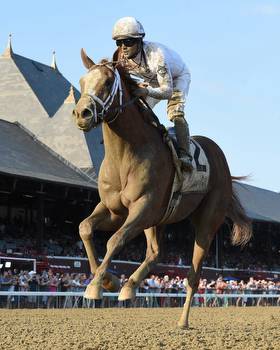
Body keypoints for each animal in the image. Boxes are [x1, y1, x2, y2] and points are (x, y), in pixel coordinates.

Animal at [72, 49, 252, 328]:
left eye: (107, 82)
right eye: (81, 83)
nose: (82, 113)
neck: (127, 154)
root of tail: (219, 155)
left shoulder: (143, 207)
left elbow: (115, 240)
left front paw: (95, 287)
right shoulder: (115, 210)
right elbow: (85, 228)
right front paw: (109, 280)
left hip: (206, 221)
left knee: (193, 274)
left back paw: (183, 321)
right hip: (158, 219)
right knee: (156, 253)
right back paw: (129, 287)